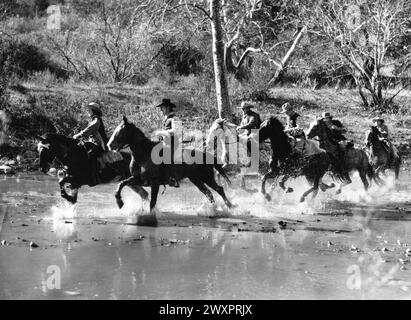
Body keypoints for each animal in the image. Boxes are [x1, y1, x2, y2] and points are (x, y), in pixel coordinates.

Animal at [107, 115, 235, 212]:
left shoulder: (155, 183)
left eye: (121, 131)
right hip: (196, 180)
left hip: (206, 177)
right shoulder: (138, 179)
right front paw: (119, 202)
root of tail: (206, 154)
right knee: (208, 193)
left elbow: (152, 202)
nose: (109, 145)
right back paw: (213, 209)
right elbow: (122, 184)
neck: (144, 154)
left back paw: (229, 206)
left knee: (219, 189)